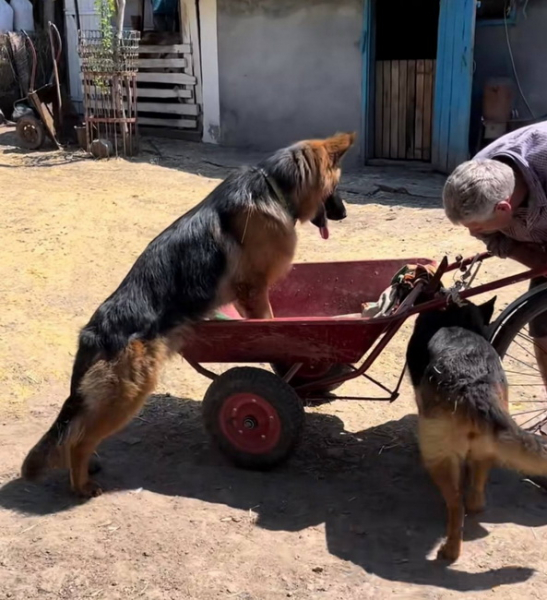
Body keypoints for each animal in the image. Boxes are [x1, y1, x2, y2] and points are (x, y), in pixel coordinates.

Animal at [22, 134, 356, 500]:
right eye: (338, 186)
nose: (344, 213)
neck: (274, 186)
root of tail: (95, 331)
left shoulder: (246, 298)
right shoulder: (254, 291)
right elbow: (272, 333)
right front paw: (290, 368)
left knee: (78, 429)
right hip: (128, 392)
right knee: (78, 439)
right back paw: (81, 484)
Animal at [408, 300, 547, 564]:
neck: (456, 318)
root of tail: (473, 385)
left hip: (439, 457)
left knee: (457, 505)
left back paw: (450, 551)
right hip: (488, 446)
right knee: (474, 500)